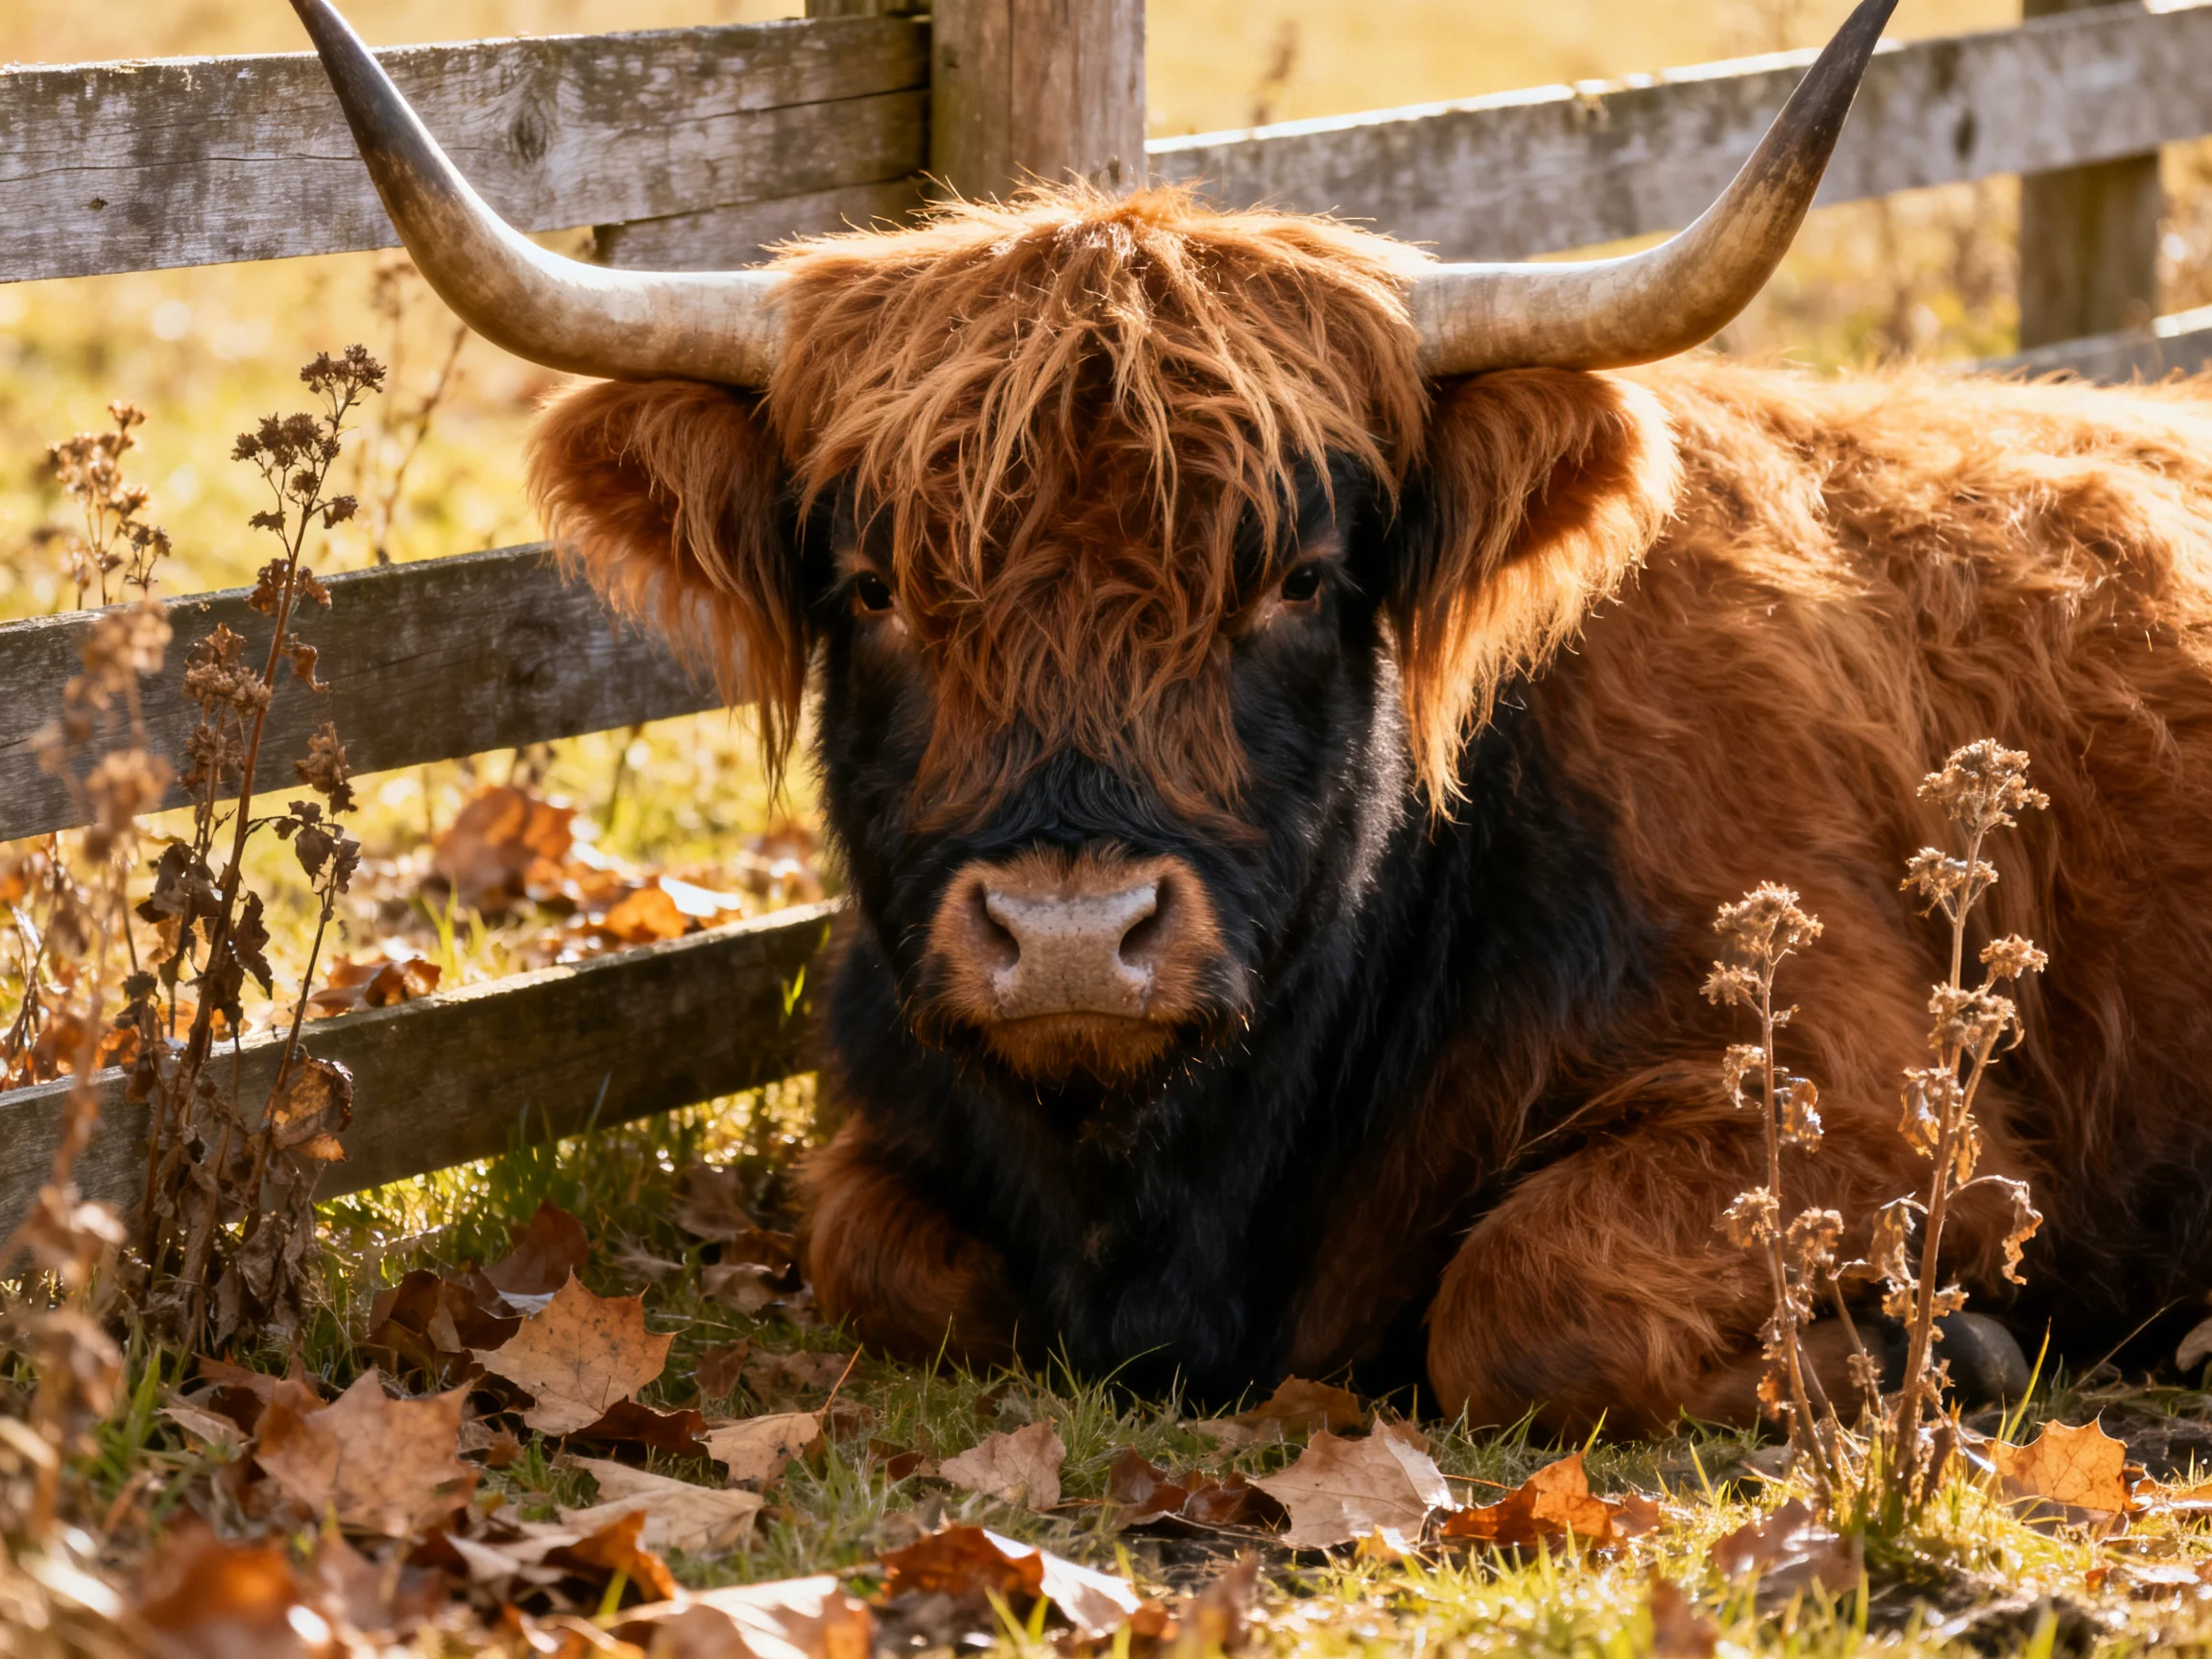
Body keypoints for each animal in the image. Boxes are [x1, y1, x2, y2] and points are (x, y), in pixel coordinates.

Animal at [293, 0, 2212, 1433]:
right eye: (876, 582)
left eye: (1296, 574)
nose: (1072, 935)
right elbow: (881, 1261)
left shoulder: (1875, 1108)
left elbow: (1525, 1302)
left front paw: (1928, 1353)